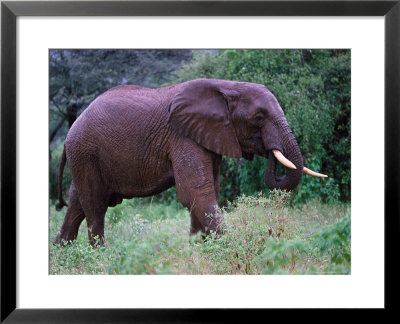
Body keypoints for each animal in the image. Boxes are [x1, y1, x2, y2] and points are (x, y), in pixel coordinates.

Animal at [53, 78, 326, 246]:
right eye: (258, 117)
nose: (271, 151)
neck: (226, 86)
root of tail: (72, 129)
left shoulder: (207, 135)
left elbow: (206, 193)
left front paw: (199, 251)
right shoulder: (182, 135)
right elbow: (196, 193)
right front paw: (228, 250)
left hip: (85, 156)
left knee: (77, 203)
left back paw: (61, 252)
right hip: (86, 152)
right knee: (95, 205)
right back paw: (99, 257)